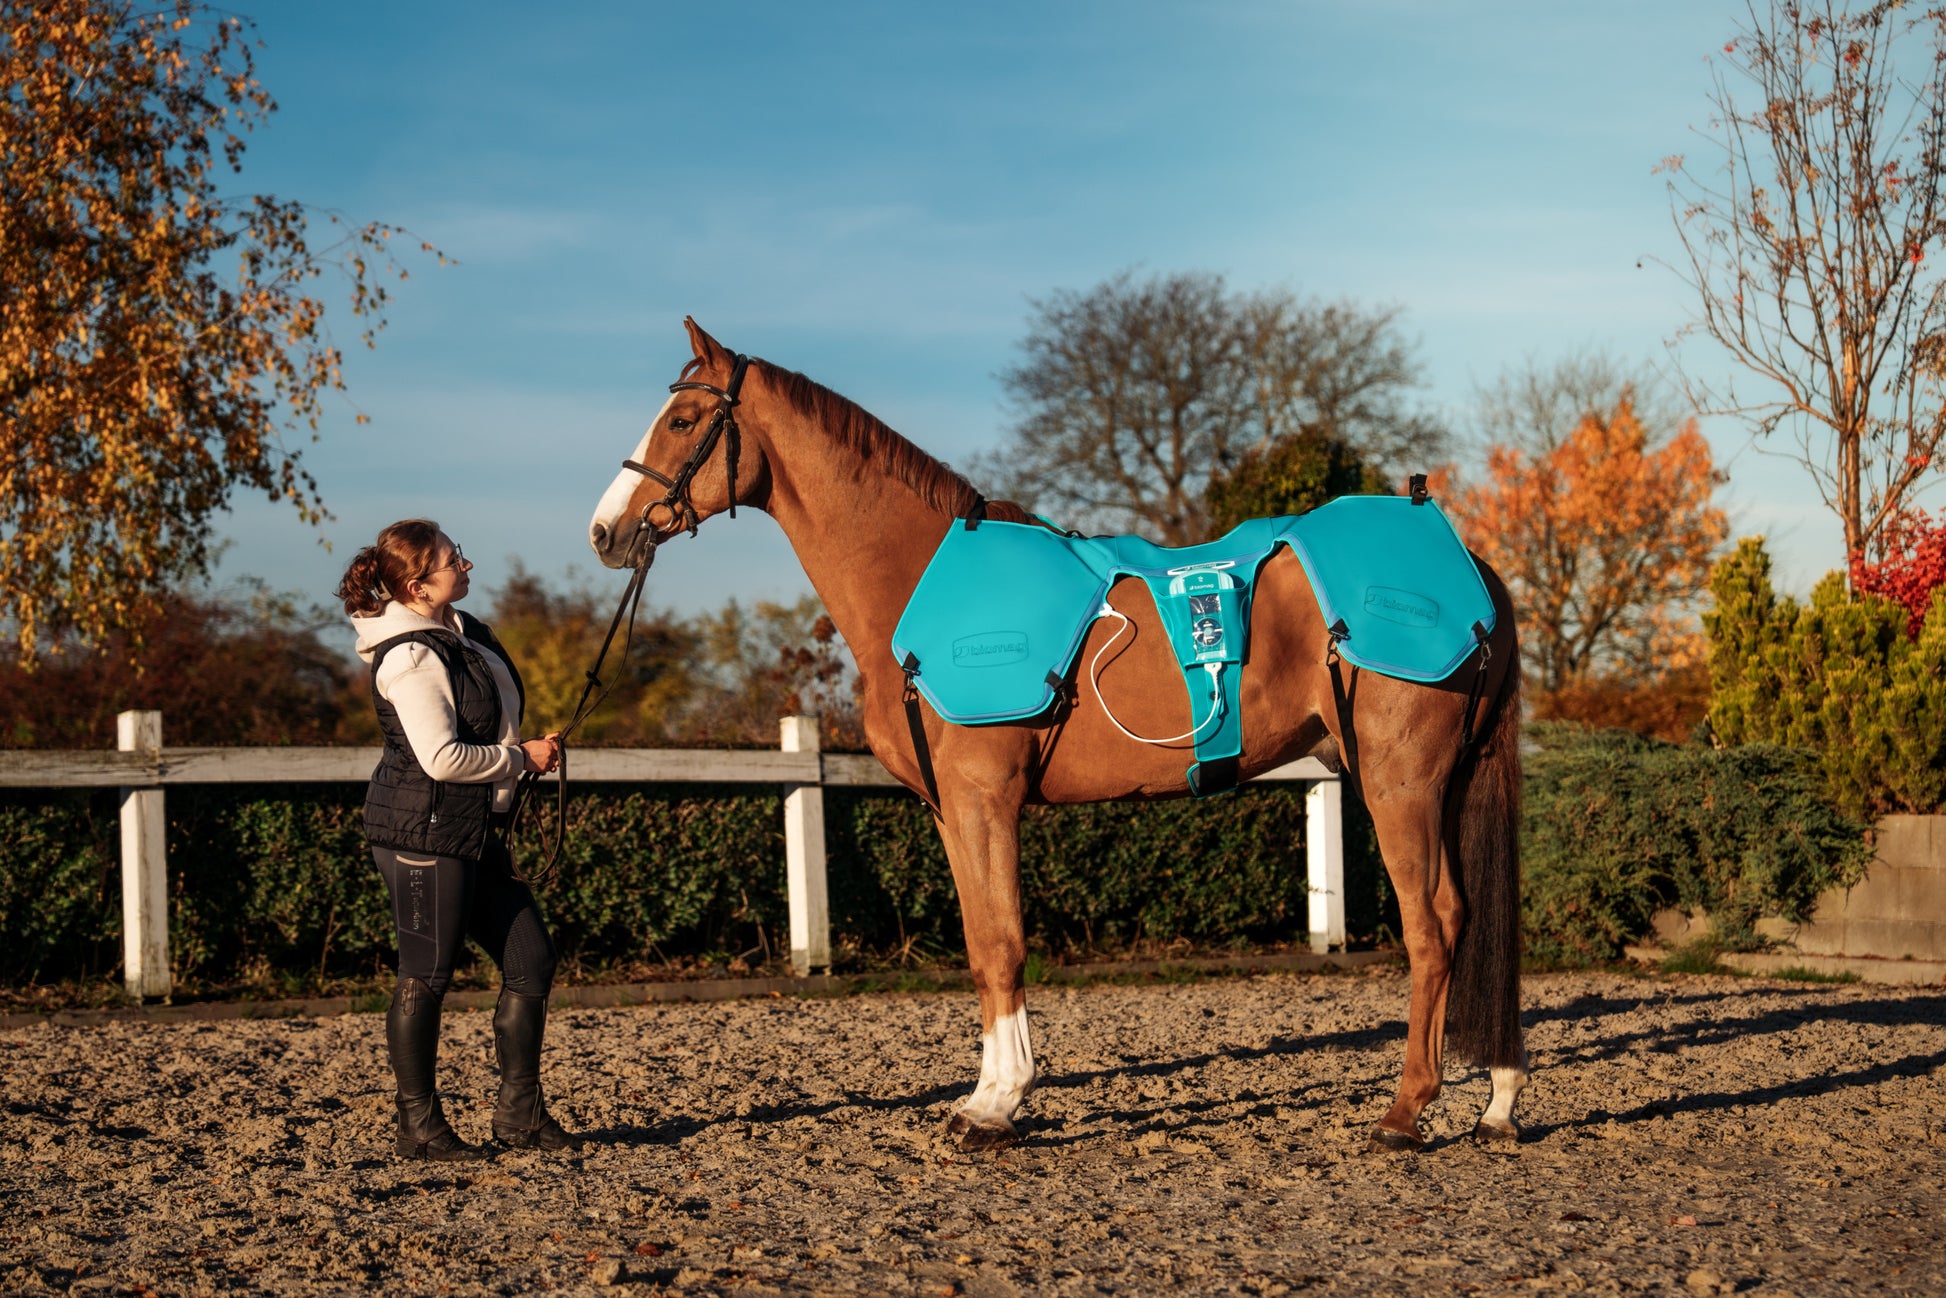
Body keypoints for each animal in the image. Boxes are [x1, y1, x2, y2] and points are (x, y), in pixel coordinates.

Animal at [587, 318, 1528, 1154]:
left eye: (682, 420)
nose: (606, 530)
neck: (917, 575)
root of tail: (1471, 566)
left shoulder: (984, 798)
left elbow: (1004, 942)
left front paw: (997, 1106)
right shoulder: (951, 810)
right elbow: (980, 946)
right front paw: (986, 1094)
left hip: (1400, 782)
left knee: (1433, 925)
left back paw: (1405, 1114)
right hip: (1443, 782)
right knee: (1475, 917)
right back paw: (1498, 1103)